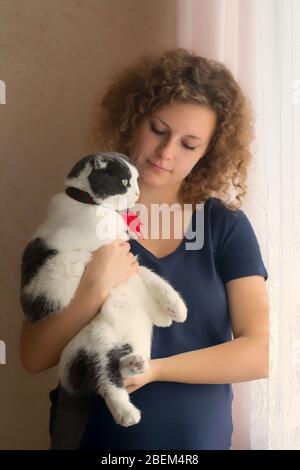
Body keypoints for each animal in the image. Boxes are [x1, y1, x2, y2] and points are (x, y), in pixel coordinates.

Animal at [19, 152, 186, 450]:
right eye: (125, 182)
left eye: (136, 180)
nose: (138, 193)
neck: (89, 205)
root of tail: (71, 381)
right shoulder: (49, 273)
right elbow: (66, 271)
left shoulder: (129, 259)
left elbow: (150, 277)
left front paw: (174, 309)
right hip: (95, 344)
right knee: (106, 381)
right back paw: (126, 412)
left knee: (117, 370)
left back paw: (135, 364)